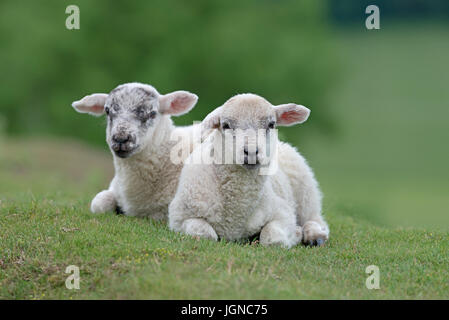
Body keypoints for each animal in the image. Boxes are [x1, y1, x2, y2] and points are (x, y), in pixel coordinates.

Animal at [168, 92, 328, 248]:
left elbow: (272, 239)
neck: (237, 212)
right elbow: (205, 234)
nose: (251, 151)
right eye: (225, 125)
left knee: (315, 219)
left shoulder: (283, 213)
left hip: (306, 191)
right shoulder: (179, 218)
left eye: (271, 124)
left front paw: (295, 234)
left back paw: (314, 236)